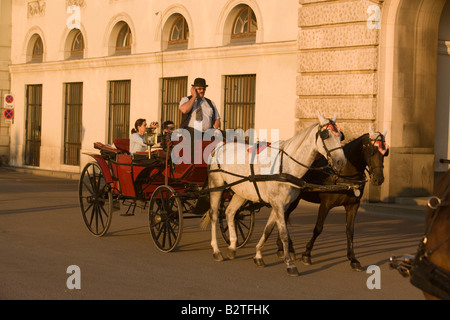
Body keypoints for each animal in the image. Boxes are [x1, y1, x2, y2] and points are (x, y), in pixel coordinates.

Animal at [206, 112, 346, 276]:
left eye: (340, 136)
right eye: (326, 135)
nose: (341, 162)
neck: (286, 166)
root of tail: (220, 146)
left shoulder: (281, 205)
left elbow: (268, 230)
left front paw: (258, 255)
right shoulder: (278, 204)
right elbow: (283, 234)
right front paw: (289, 263)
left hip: (241, 191)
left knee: (229, 213)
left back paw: (233, 247)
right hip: (216, 186)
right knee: (215, 215)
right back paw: (216, 250)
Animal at [276, 127, 388, 270]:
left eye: (385, 153)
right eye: (372, 150)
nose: (379, 179)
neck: (343, 175)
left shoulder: (353, 206)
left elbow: (350, 231)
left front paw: (353, 259)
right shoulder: (326, 204)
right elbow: (318, 228)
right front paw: (307, 253)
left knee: (283, 217)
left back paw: (284, 247)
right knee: (283, 217)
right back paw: (284, 247)